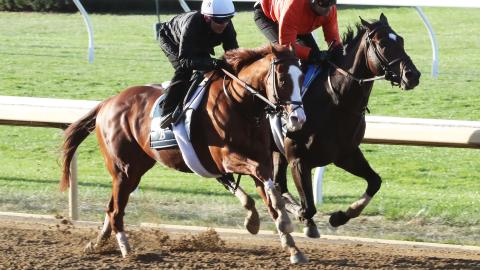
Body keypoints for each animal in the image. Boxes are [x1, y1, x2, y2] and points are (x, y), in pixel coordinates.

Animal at [61, 44, 308, 264]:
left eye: (302, 78)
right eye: (284, 80)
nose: (298, 119)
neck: (240, 105)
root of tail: (107, 103)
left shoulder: (260, 158)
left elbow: (268, 193)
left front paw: (292, 247)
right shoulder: (225, 159)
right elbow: (264, 181)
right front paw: (283, 215)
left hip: (134, 170)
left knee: (112, 207)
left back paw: (98, 243)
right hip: (123, 169)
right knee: (116, 211)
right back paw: (126, 249)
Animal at [274, 14, 424, 237]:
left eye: (401, 40)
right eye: (383, 44)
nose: (412, 75)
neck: (336, 101)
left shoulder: (346, 154)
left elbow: (375, 181)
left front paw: (340, 216)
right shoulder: (297, 159)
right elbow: (306, 207)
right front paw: (303, 217)